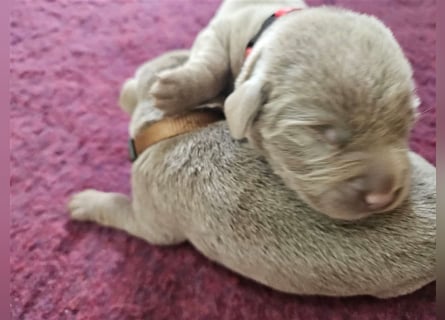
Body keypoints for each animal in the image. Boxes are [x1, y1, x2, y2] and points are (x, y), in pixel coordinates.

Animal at [149, 0, 420, 220]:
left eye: (406, 124)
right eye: (324, 133)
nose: (383, 197)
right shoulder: (220, 32)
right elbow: (212, 64)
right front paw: (174, 90)